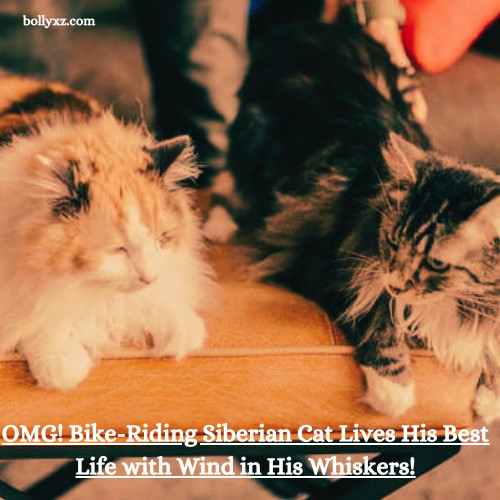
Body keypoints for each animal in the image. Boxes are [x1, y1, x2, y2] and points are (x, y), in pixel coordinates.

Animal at [0, 76, 214, 388]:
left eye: (161, 240)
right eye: (118, 248)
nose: (149, 277)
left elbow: (149, 300)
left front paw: (179, 328)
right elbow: (35, 315)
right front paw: (62, 362)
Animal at [206, 24, 500, 422]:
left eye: (437, 262)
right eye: (392, 241)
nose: (396, 281)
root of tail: (311, 29)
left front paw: (489, 399)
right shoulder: (328, 263)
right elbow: (379, 316)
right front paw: (393, 391)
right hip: (255, 143)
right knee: (229, 181)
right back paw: (218, 226)